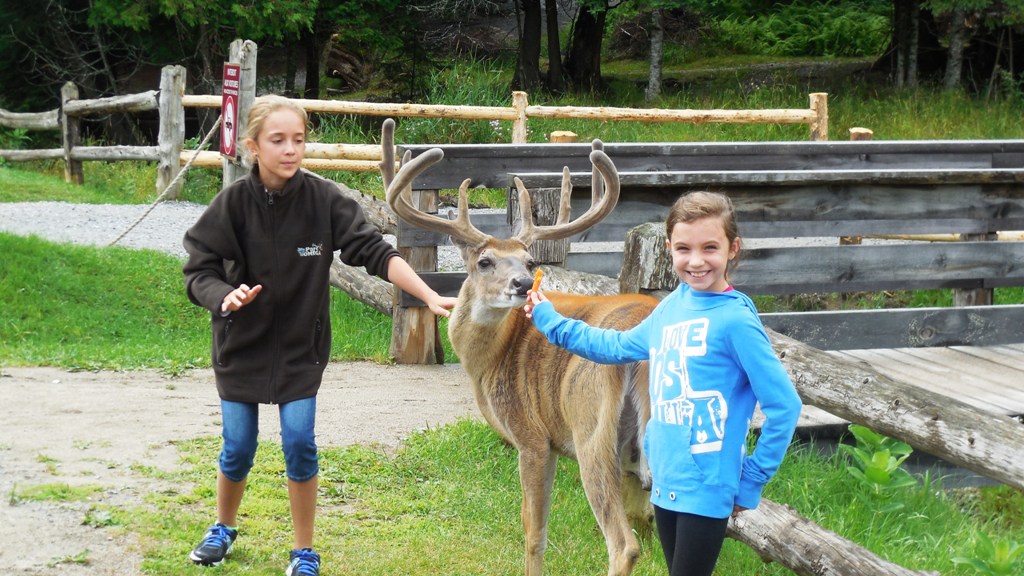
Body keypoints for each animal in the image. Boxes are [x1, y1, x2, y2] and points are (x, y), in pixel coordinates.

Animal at [379, 119, 660, 576]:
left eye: (530, 262)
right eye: (484, 261)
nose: (525, 284)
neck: (488, 359)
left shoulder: (531, 434)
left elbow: (533, 531)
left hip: (592, 432)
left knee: (624, 545)